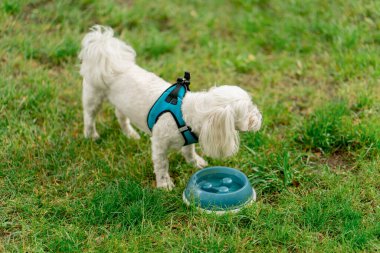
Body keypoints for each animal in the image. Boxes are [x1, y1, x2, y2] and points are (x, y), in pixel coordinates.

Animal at [77, 25, 262, 190]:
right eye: (248, 112)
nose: (260, 117)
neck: (185, 113)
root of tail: (106, 54)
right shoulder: (159, 143)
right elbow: (161, 165)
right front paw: (164, 184)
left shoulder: (188, 139)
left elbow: (189, 151)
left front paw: (195, 162)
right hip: (93, 96)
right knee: (89, 116)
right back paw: (91, 135)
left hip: (122, 102)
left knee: (121, 116)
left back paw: (130, 134)